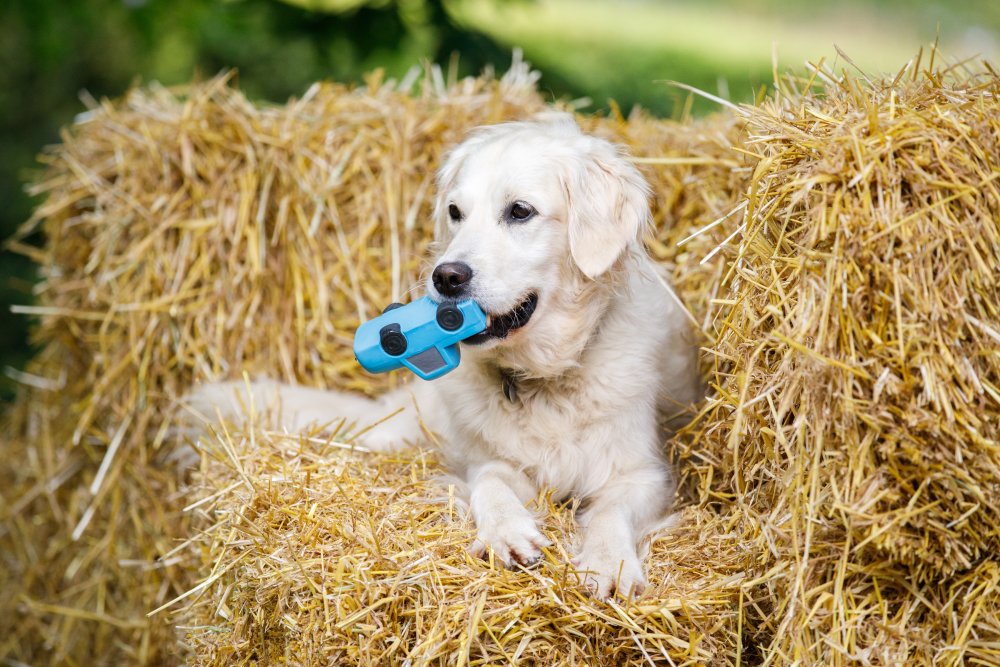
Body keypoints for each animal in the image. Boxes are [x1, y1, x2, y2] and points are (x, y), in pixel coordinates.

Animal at [191, 116, 700, 600]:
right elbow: (490, 482)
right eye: (455, 213)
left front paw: (608, 561)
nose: (446, 277)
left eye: (520, 211)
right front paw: (506, 532)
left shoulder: (646, 474)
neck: (543, 378)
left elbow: (612, 511)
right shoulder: (492, 459)